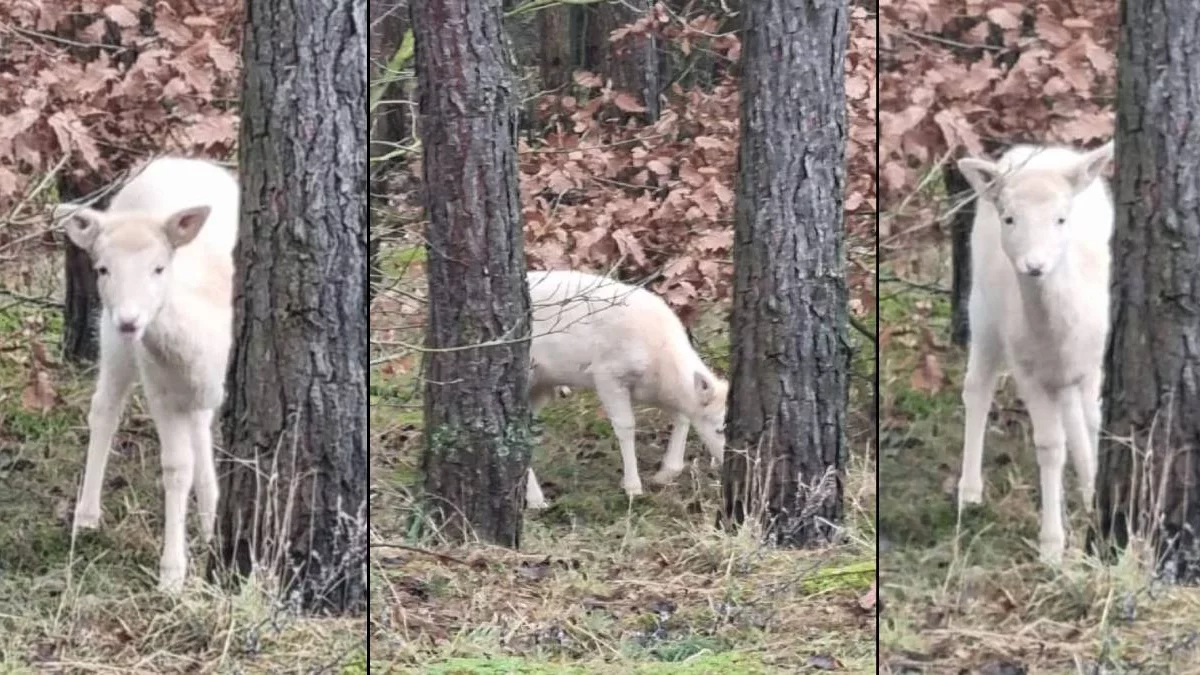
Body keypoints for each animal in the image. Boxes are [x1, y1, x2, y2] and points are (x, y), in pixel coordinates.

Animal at [57, 156, 240, 588]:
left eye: (159, 268)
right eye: (102, 269)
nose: (130, 320)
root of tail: (177, 160)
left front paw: (208, 528)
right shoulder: (159, 389)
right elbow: (175, 468)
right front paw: (172, 574)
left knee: (200, 428)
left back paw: (209, 518)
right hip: (112, 339)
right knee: (104, 408)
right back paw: (86, 517)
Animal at [520, 267, 724, 504]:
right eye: (720, 428)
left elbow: (682, 416)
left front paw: (664, 474)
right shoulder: (607, 373)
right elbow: (626, 426)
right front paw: (633, 487)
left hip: (542, 384)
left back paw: (534, 498)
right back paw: (536, 499)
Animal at [955, 139, 1113, 559]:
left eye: (1061, 219)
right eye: (1010, 218)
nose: (1035, 265)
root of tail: (1035, 148)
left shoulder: (1094, 359)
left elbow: (1094, 421)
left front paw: (1092, 495)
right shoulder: (1026, 369)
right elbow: (1049, 445)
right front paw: (1052, 546)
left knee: (1075, 412)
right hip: (982, 307)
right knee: (977, 388)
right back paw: (968, 491)